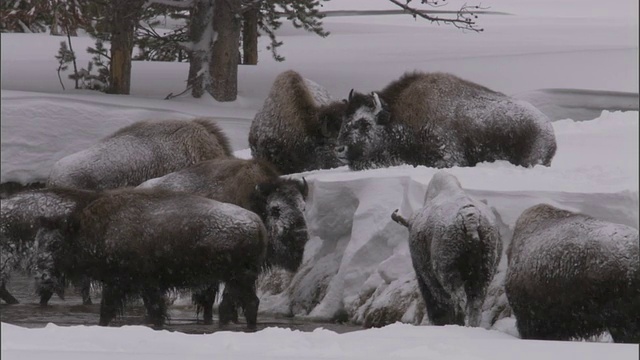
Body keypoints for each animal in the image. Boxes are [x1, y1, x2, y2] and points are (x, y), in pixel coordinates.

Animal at [338, 72, 556, 171]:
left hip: (531, 158)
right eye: (345, 120)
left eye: (365, 123)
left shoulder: (450, 157)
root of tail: (547, 127)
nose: (339, 148)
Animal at [390, 172, 504, 326]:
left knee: (459, 300)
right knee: (476, 303)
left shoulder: (425, 277)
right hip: (485, 272)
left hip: (448, 271)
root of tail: (470, 217)